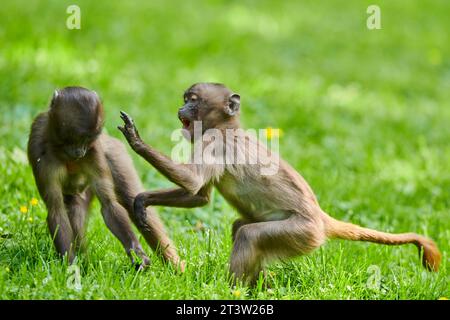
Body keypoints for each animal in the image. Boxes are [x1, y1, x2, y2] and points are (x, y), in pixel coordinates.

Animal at [26, 85, 179, 270]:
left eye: (87, 139)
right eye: (73, 139)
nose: (80, 152)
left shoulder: (95, 153)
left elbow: (109, 204)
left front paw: (135, 249)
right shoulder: (44, 159)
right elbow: (57, 210)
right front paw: (71, 267)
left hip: (114, 154)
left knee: (131, 199)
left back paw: (177, 269)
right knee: (74, 207)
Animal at [118, 82, 442, 284]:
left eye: (192, 102)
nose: (181, 110)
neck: (226, 127)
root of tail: (320, 218)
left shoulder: (215, 142)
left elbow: (192, 181)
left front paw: (136, 141)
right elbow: (199, 196)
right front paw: (141, 202)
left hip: (303, 233)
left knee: (249, 235)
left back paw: (232, 289)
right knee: (241, 227)